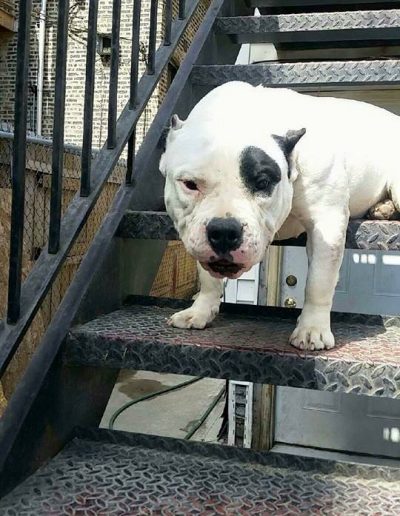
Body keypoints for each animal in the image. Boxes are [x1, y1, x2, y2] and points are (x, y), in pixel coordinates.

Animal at [159, 81, 400, 350]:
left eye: (263, 182)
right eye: (190, 184)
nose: (224, 231)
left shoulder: (327, 223)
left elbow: (319, 281)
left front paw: (312, 329)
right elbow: (207, 277)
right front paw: (200, 310)